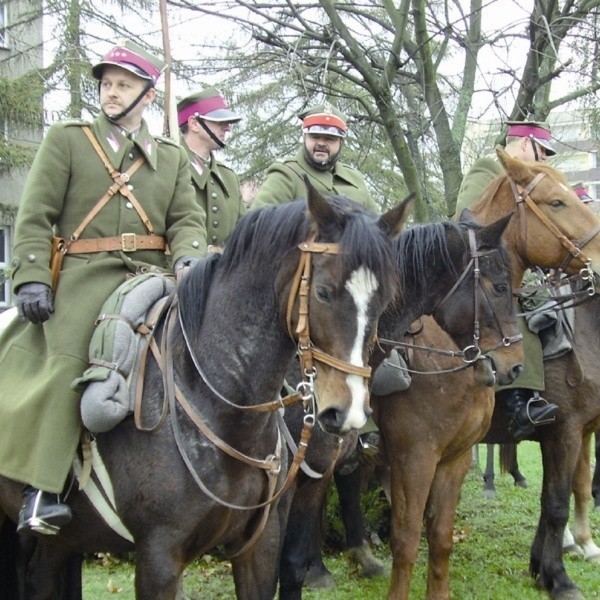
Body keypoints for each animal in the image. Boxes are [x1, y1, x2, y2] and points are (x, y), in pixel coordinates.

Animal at [278, 213, 524, 596]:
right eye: (499, 287)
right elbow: (406, 538)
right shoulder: (413, 460)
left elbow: (440, 537)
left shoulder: (453, 460)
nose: (515, 365)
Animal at [330, 149, 600, 600]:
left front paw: (547, 565)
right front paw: (559, 576)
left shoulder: (563, 433)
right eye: (557, 202)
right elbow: (557, 502)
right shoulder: (564, 429)